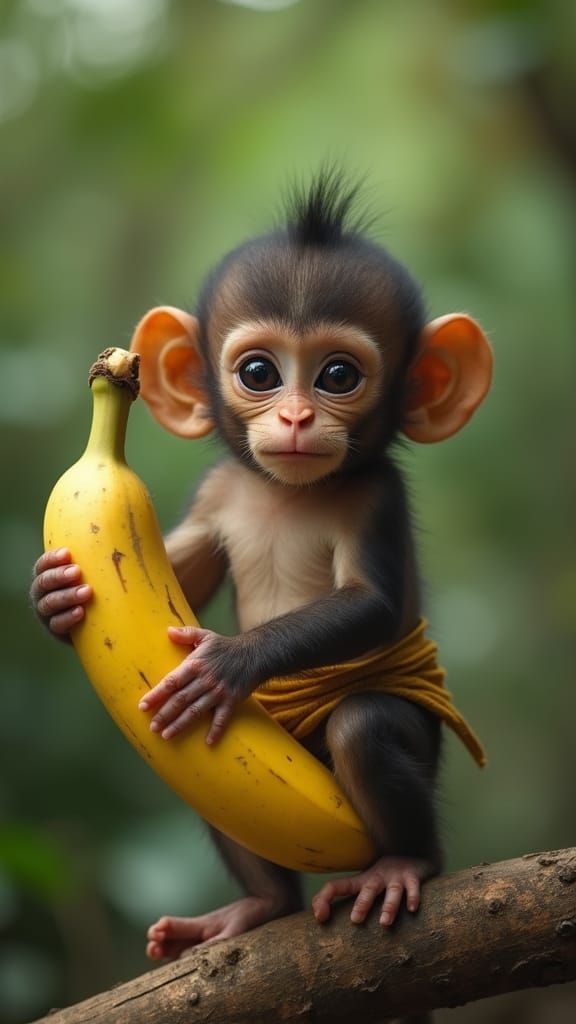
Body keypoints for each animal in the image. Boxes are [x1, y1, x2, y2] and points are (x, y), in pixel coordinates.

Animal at [32, 173, 491, 1007]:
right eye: (259, 373)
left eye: (338, 375)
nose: (297, 416)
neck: (285, 492)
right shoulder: (221, 488)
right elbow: (185, 570)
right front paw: (51, 594)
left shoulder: (376, 495)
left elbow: (375, 605)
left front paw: (228, 661)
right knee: (202, 766)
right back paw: (258, 905)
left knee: (364, 729)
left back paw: (402, 862)